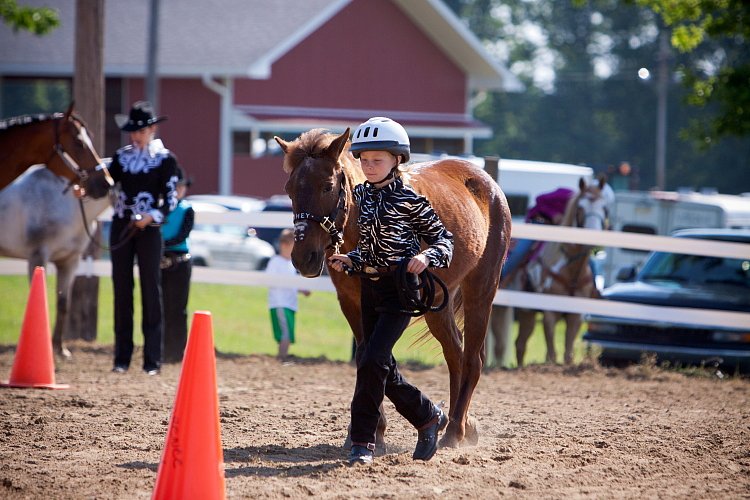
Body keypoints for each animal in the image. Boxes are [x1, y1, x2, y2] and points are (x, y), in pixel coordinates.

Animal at [0, 105, 113, 358]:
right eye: (79, 142)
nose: (106, 182)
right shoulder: (37, 257)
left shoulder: (69, 261)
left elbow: (63, 304)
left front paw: (60, 348)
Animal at [276, 129, 516, 450]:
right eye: (289, 189)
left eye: (327, 186)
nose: (303, 258)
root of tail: (488, 185)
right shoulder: (351, 302)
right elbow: (366, 355)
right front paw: (371, 431)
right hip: (437, 304)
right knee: (455, 354)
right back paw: (461, 424)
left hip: (480, 291)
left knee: (472, 360)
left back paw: (455, 432)